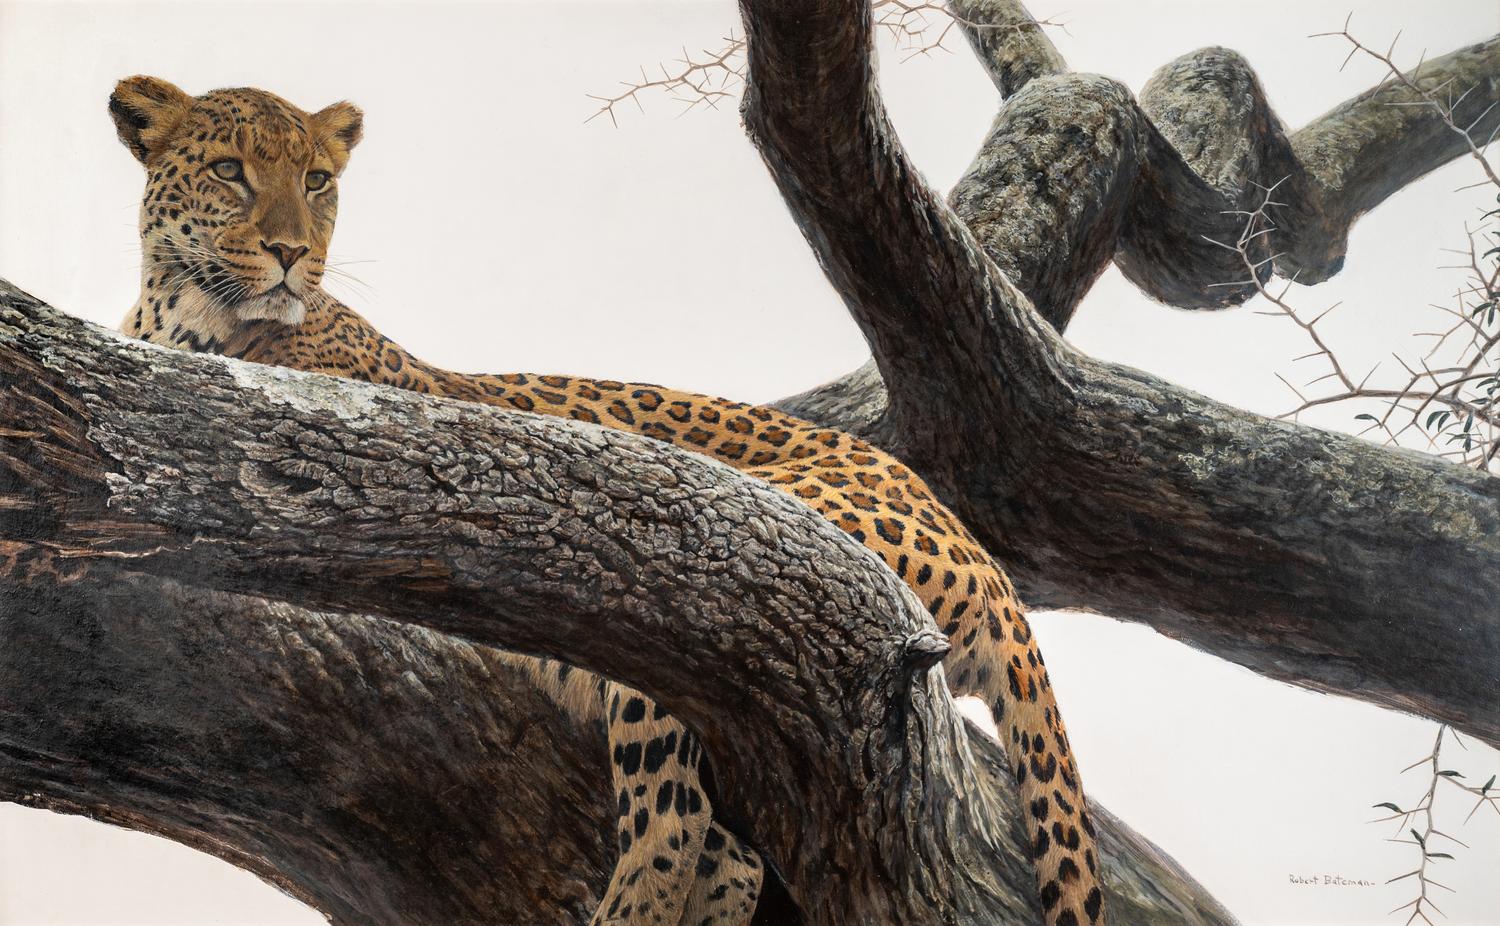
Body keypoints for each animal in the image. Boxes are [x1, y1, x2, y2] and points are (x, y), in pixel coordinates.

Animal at [108, 76, 1106, 926]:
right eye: (231, 171)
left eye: (317, 181)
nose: (291, 255)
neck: (177, 314)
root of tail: (972, 547)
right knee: (732, 856)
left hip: (694, 600)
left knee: (679, 833)